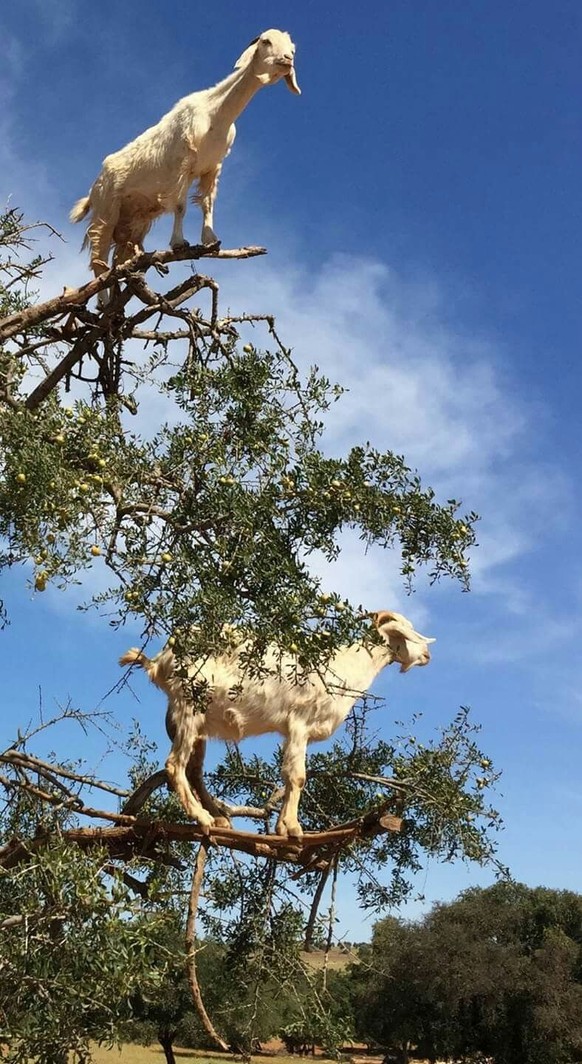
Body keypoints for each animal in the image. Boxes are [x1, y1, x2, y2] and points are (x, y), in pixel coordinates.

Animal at [70, 30, 300, 279]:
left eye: (292, 48)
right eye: (266, 41)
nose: (287, 59)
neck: (215, 113)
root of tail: (94, 188)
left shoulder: (212, 167)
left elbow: (207, 203)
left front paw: (210, 240)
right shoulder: (183, 165)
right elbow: (180, 206)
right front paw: (179, 243)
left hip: (134, 221)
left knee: (121, 254)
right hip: (105, 211)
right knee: (98, 259)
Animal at [119, 611, 435, 838]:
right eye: (404, 631)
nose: (427, 655)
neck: (344, 668)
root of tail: (160, 661)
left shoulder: (292, 732)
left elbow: (287, 776)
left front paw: (284, 827)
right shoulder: (299, 724)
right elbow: (297, 777)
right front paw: (294, 829)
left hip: (198, 722)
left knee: (194, 770)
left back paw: (219, 819)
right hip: (189, 707)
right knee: (175, 764)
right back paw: (203, 818)